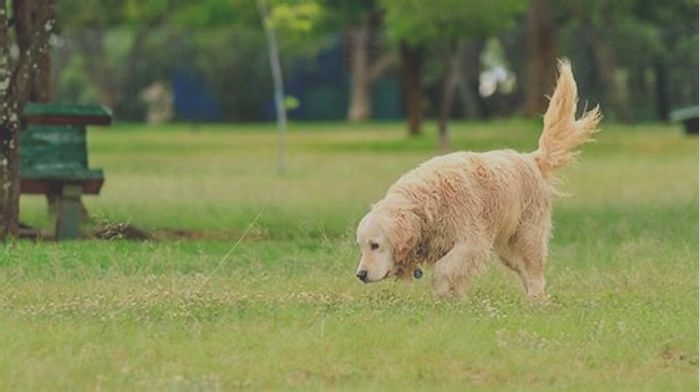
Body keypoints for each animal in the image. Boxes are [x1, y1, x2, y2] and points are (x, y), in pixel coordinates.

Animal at [358, 59, 600, 300]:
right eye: (361, 246)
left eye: (375, 245)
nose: (360, 275)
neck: (426, 203)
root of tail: (531, 159)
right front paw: (458, 300)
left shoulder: (472, 242)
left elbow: (442, 270)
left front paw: (443, 295)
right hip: (507, 249)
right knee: (523, 270)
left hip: (528, 236)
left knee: (534, 271)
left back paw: (537, 300)